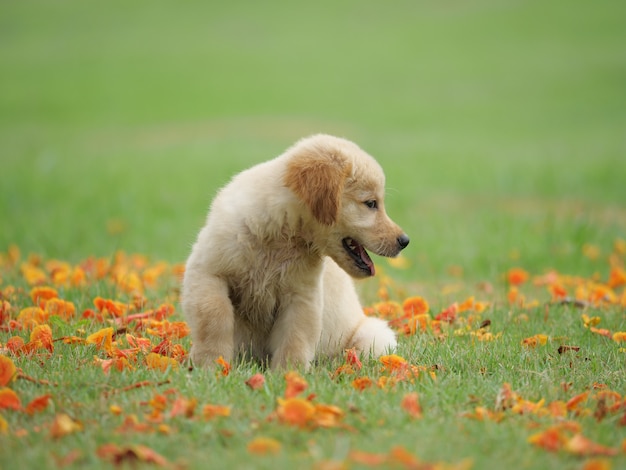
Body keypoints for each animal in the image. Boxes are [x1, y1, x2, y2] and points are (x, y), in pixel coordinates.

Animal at [182, 134, 404, 370]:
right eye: (371, 203)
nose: (405, 241)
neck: (280, 235)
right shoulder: (208, 272)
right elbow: (214, 316)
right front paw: (210, 364)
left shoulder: (301, 296)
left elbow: (294, 338)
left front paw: (288, 373)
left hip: (375, 336)